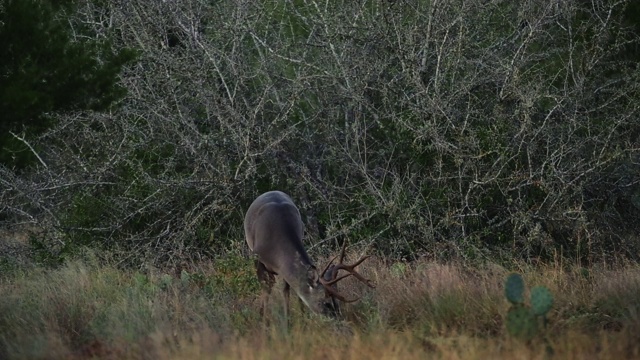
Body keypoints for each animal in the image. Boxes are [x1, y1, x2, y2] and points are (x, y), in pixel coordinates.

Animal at [245, 191, 376, 318]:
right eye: (326, 303)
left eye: (336, 302)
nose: (338, 318)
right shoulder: (257, 256)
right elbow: (266, 288)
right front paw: (264, 320)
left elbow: (286, 290)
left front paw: (296, 320)